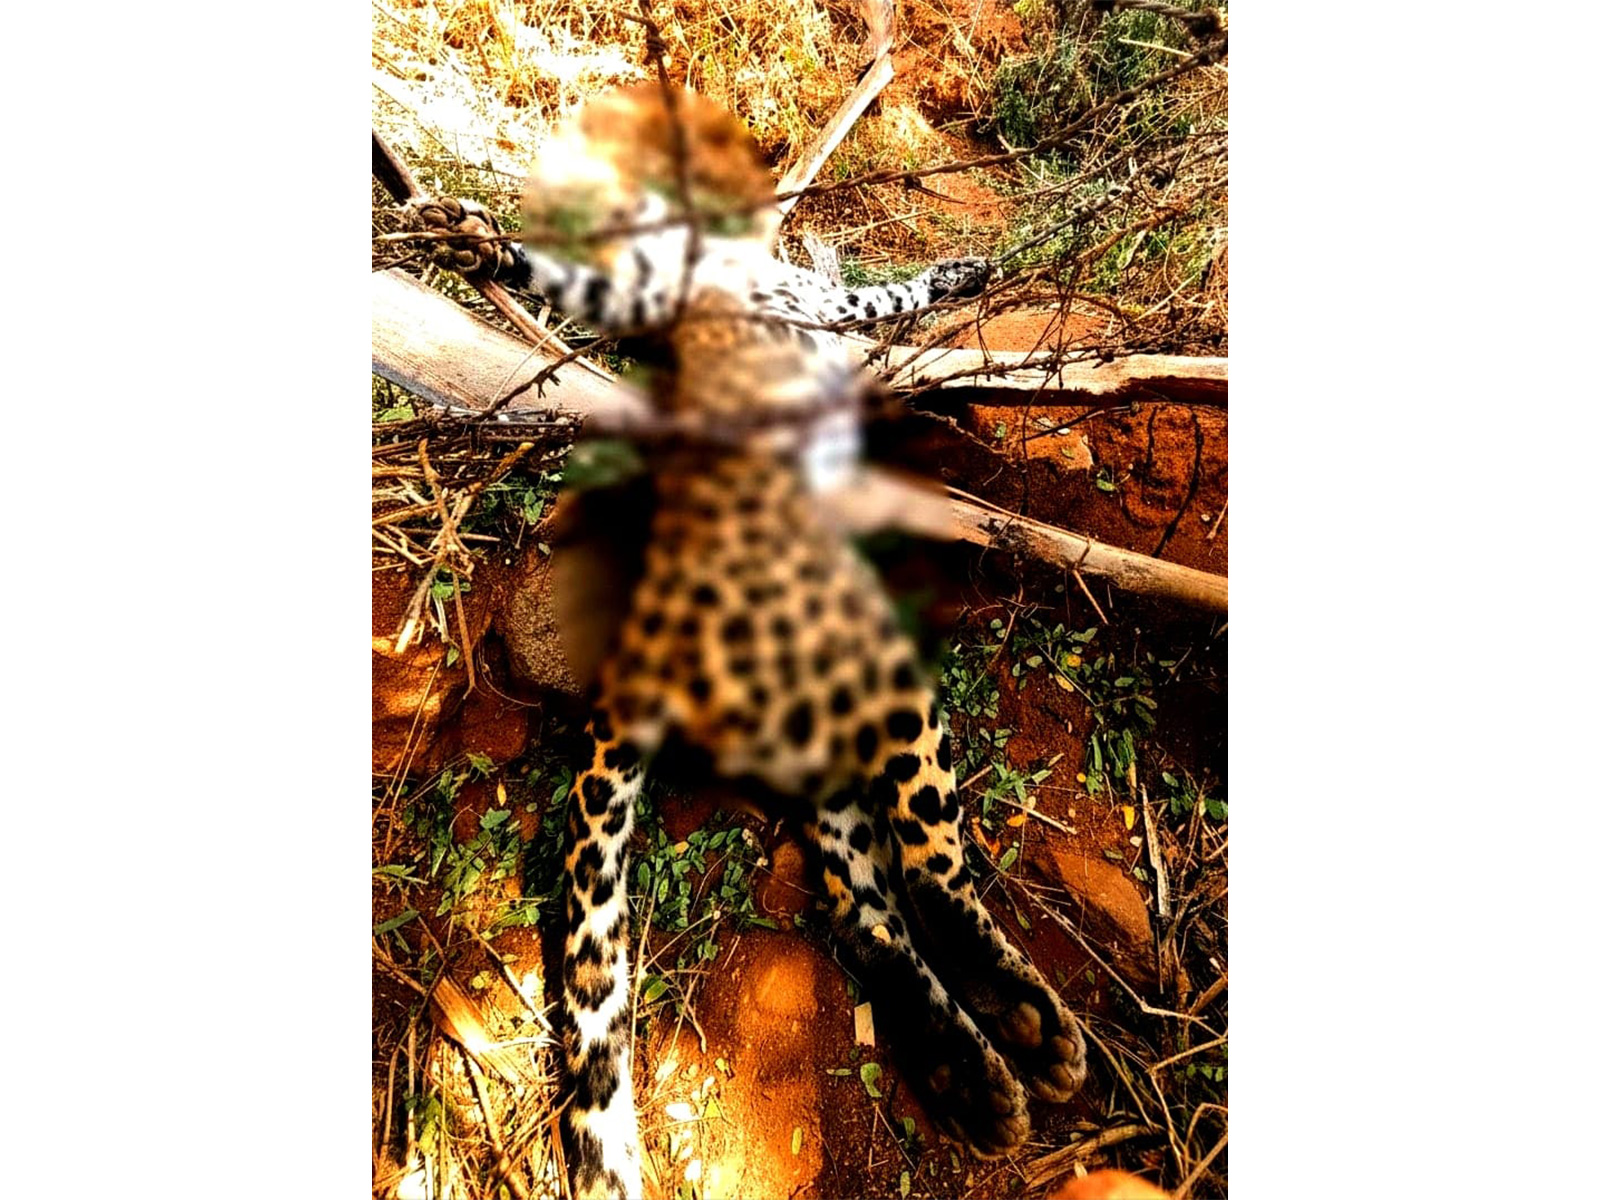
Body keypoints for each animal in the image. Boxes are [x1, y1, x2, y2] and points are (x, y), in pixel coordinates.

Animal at [405, 84, 1087, 1200]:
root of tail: (646, 639)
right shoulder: (799, 304)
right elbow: (884, 294)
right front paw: (957, 276)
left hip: (811, 745)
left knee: (864, 910)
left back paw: (977, 1079)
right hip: (876, 672)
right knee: (926, 873)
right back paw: (1029, 1033)